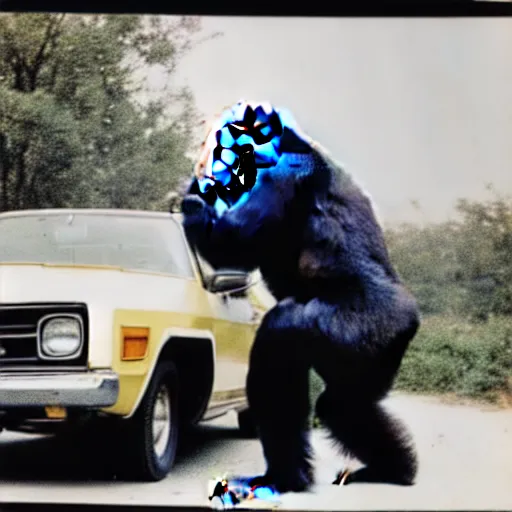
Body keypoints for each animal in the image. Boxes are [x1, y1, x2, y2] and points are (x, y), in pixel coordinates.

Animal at [180, 101, 420, 492]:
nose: (220, 160)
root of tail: (410, 317)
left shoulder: (281, 174)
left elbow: (231, 242)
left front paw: (195, 200)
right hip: (378, 354)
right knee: (344, 406)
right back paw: (393, 469)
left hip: (364, 324)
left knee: (282, 336)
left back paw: (286, 475)